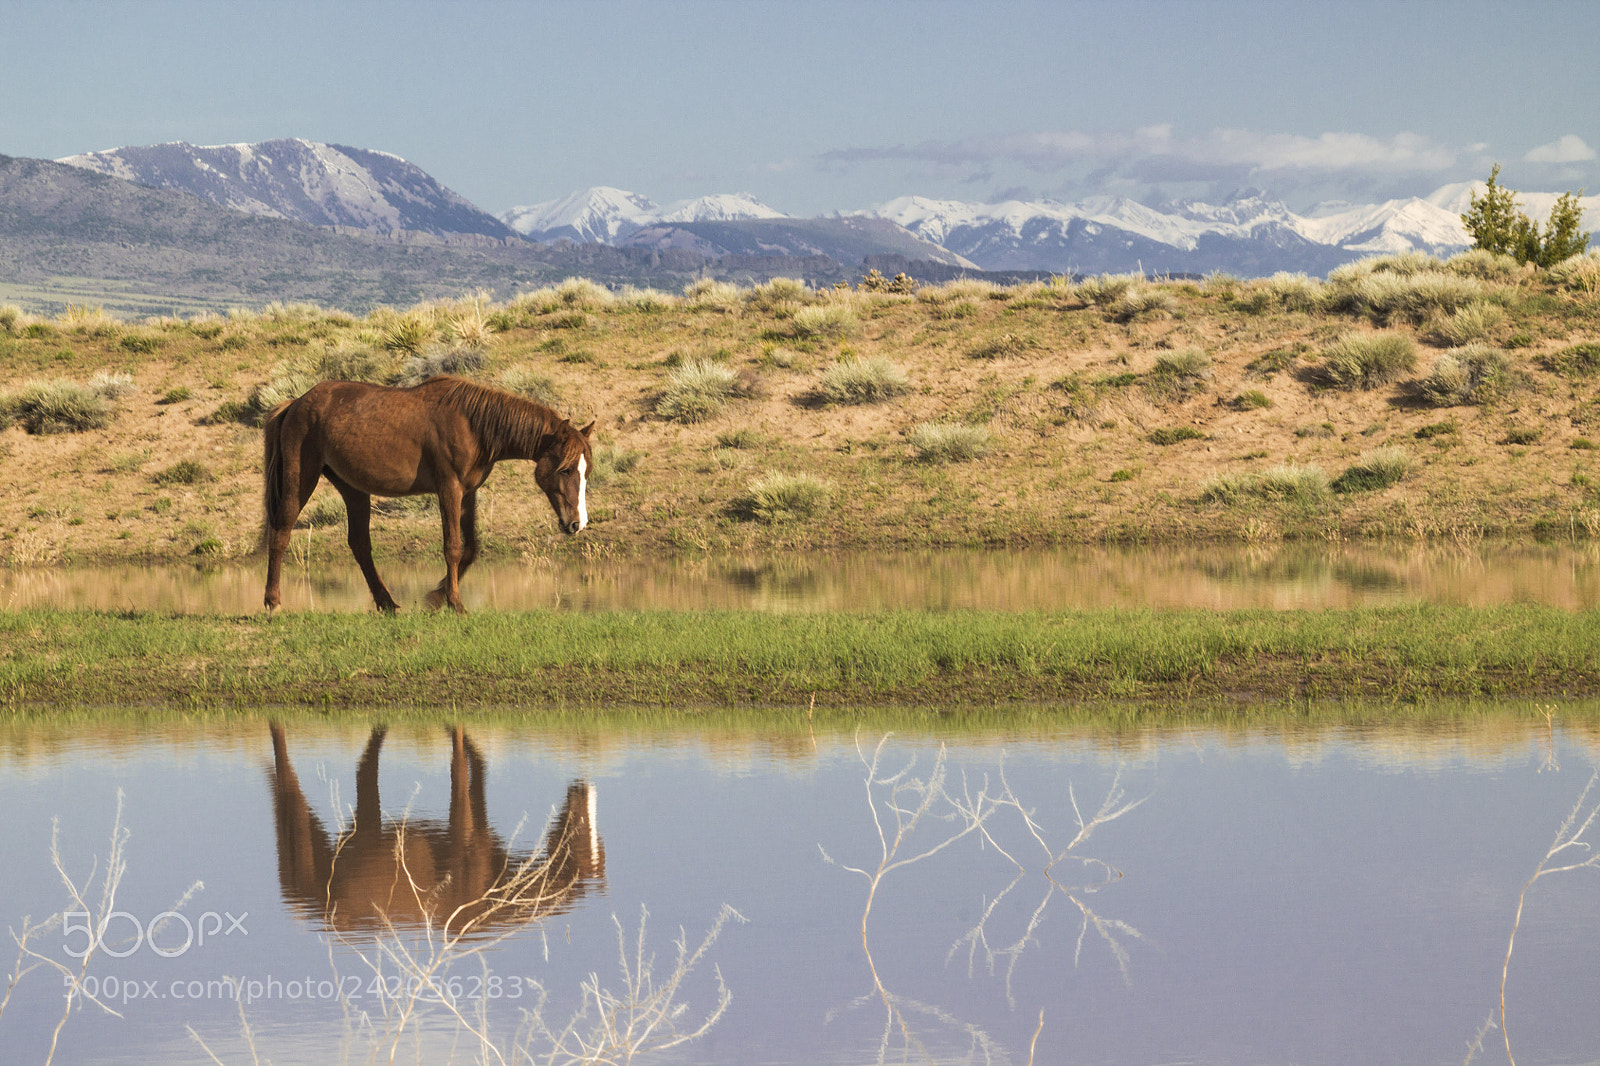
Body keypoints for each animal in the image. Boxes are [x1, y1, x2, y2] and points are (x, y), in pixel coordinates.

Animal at [262, 375, 593, 613]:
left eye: (586, 470)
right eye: (565, 470)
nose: (577, 524)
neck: (472, 425)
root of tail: (295, 403)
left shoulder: (467, 493)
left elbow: (471, 548)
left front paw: (437, 596)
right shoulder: (449, 488)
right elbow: (453, 547)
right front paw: (455, 603)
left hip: (353, 489)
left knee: (360, 545)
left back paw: (387, 603)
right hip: (301, 479)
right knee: (281, 533)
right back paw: (273, 602)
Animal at [268, 722, 606, 935]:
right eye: (583, 837)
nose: (583, 787)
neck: (490, 891)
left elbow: (476, 763)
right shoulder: (462, 831)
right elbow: (459, 767)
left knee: (365, 764)